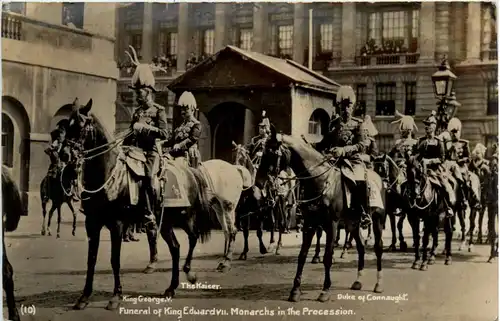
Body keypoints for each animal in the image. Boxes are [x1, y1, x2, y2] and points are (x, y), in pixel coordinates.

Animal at [256, 125, 384, 302]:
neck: (321, 181)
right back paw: (358, 281)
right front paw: (295, 290)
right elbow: (302, 255)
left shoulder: (332, 224)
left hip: (377, 219)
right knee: (361, 247)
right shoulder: (309, 223)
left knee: (378, 247)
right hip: (352, 223)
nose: (258, 182)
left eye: (271, 153)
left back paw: (378, 284)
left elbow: (328, 256)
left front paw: (325, 290)